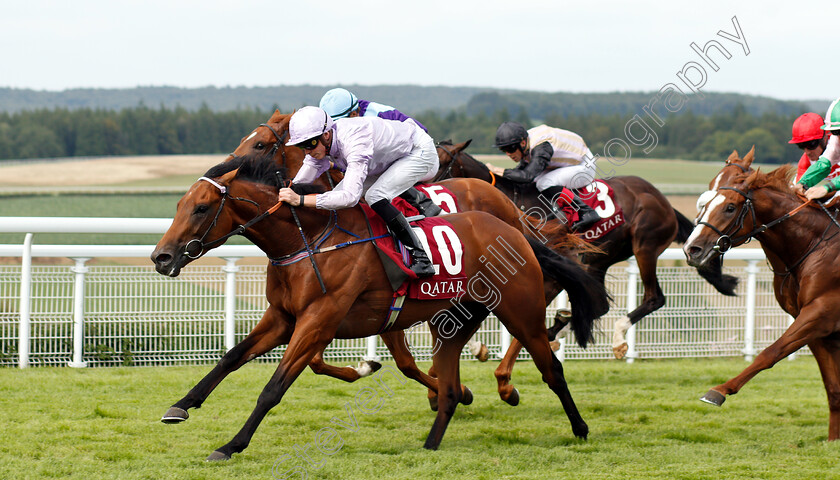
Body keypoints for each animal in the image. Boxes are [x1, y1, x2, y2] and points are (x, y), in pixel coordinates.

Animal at [151, 152, 612, 460]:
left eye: (202, 207)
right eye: (178, 205)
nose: (161, 257)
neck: (308, 239)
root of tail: (517, 230)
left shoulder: (318, 320)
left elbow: (273, 387)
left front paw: (231, 445)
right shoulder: (283, 318)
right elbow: (231, 358)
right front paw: (180, 407)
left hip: (521, 312)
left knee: (551, 368)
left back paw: (578, 427)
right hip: (452, 321)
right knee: (448, 384)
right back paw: (434, 438)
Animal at [228, 110, 612, 410]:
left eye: (260, 144)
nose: (227, 170)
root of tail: (502, 201)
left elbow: (404, 361)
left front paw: (450, 388)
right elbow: (321, 361)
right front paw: (369, 369)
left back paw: (512, 371)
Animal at [430, 139, 740, 356]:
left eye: (441, 162)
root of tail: (663, 200)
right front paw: (476, 345)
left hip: (644, 246)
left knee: (654, 298)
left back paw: (616, 338)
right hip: (599, 259)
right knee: (601, 304)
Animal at [684, 153, 840, 438]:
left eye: (730, 207)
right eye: (712, 191)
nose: (692, 249)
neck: (816, 247)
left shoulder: (820, 313)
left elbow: (771, 352)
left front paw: (719, 390)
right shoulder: (818, 326)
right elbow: (834, 389)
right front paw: (834, 439)